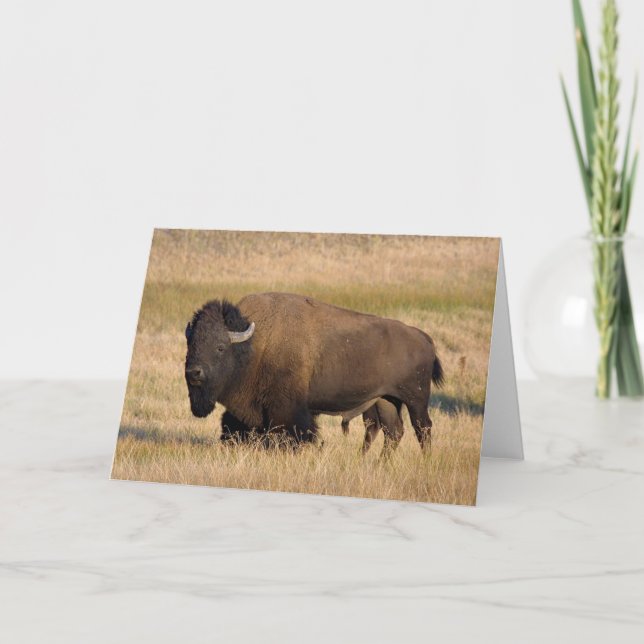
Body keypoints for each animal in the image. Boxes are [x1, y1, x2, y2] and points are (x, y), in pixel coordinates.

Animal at [184, 292, 444, 455]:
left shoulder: (288, 409)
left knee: (423, 429)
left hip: (415, 400)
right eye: (191, 343)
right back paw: (377, 464)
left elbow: (291, 434)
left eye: (220, 347)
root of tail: (424, 338)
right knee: (393, 431)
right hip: (385, 400)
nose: (193, 373)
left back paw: (425, 462)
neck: (255, 345)